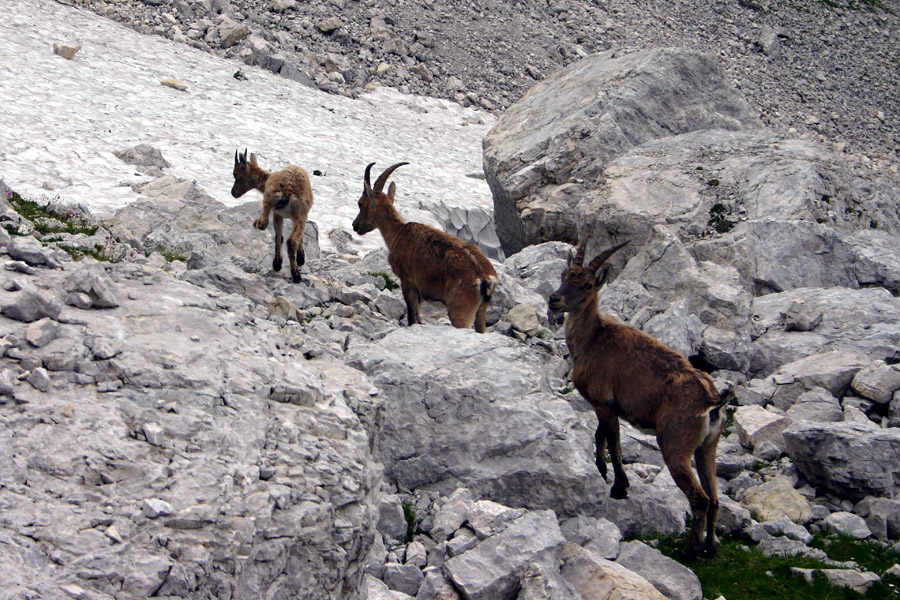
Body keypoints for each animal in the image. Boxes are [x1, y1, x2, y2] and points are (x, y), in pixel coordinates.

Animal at [231, 149, 313, 283]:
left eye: (235, 174)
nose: (233, 193)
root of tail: (287, 191)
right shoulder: (294, 216)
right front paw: (298, 259)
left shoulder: (279, 214)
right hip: (298, 213)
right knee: (289, 239)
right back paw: (295, 274)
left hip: (273, 205)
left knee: (266, 226)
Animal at [352, 162, 498, 333]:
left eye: (360, 203)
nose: (355, 225)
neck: (398, 233)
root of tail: (484, 277)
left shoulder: (408, 281)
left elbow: (412, 318)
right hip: (481, 310)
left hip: (461, 308)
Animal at [548, 240, 727, 560]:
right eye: (564, 275)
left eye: (588, 284)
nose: (554, 300)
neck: (593, 339)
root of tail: (712, 404)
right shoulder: (607, 407)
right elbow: (600, 436)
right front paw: (601, 470)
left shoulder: (604, 403)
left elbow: (615, 445)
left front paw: (619, 487)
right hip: (707, 447)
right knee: (715, 497)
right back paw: (709, 548)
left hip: (674, 445)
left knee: (700, 498)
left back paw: (691, 551)